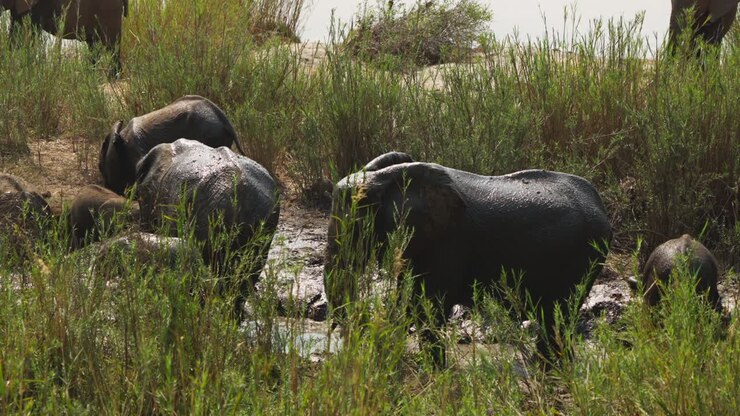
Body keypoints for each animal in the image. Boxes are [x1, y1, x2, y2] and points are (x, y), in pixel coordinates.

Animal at [325, 152, 612, 366]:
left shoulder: (447, 242)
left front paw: (434, 369)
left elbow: (426, 307)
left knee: (557, 315)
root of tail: (598, 203)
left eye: (358, 220)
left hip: (583, 257)